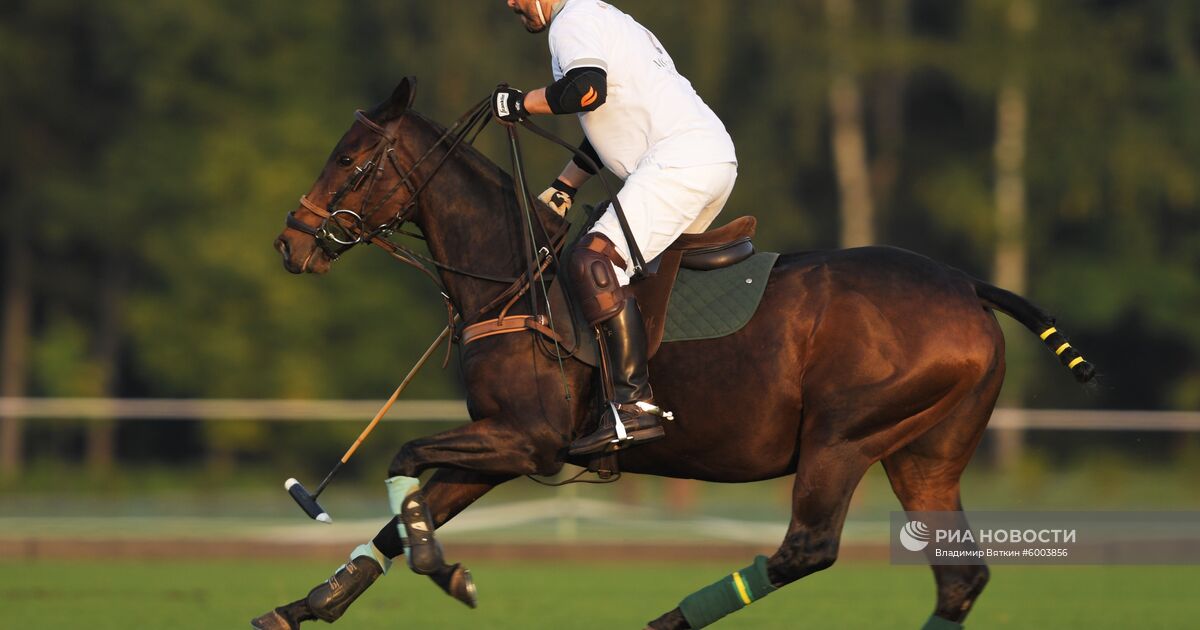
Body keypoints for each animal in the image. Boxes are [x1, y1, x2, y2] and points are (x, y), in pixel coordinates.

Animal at [262, 79, 1099, 628]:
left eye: (349, 160)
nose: (290, 245)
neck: (513, 276)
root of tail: (967, 286)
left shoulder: (528, 441)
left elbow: (403, 463)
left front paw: (449, 574)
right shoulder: (497, 443)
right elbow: (407, 516)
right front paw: (304, 605)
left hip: (843, 437)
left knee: (807, 548)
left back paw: (666, 621)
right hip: (924, 452)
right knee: (958, 578)